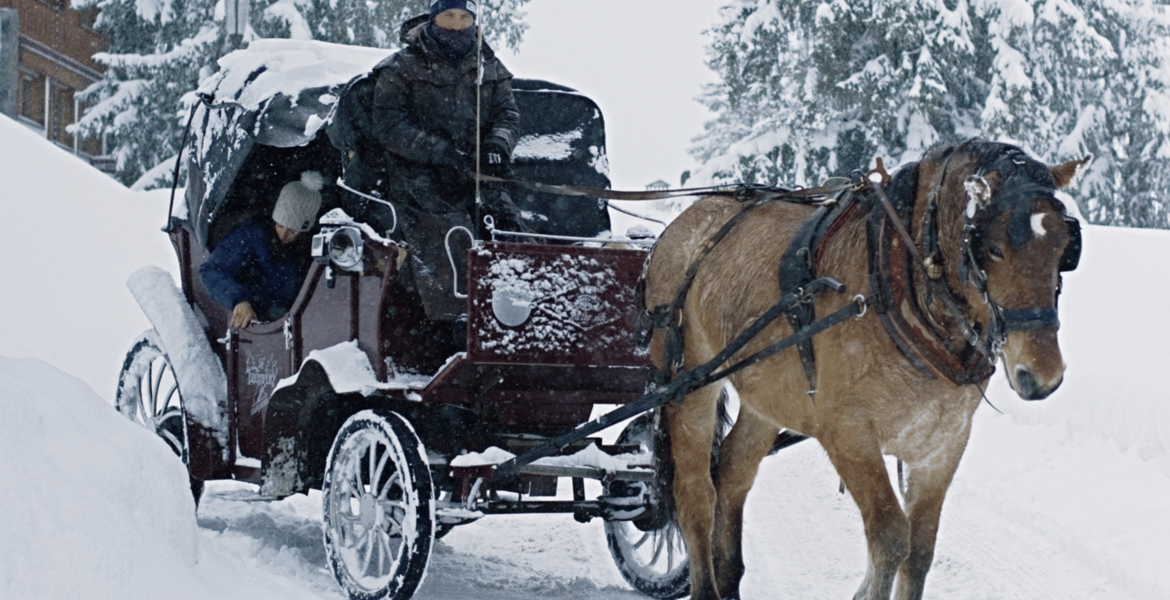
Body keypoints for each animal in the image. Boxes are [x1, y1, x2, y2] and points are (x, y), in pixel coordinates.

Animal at [642, 139, 1089, 600]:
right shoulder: (848, 434)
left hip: (767, 395)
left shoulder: (943, 444)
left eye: (1065, 250)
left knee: (732, 471)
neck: (897, 292)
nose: (1042, 375)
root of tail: (687, 218)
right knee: (695, 493)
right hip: (688, 383)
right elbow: (891, 537)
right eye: (994, 249)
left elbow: (920, 549)